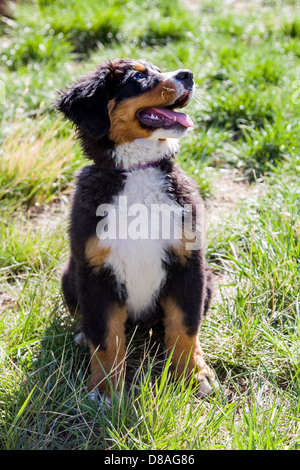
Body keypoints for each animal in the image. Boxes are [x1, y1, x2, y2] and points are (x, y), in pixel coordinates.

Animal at [57, 57, 218, 404]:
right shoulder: (95, 271)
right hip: (69, 277)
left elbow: (185, 326)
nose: (187, 74)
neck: (138, 172)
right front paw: (104, 390)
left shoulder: (187, 263)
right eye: (137, 78)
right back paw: (81, 336)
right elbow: (105, 337)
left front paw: (193, 375)